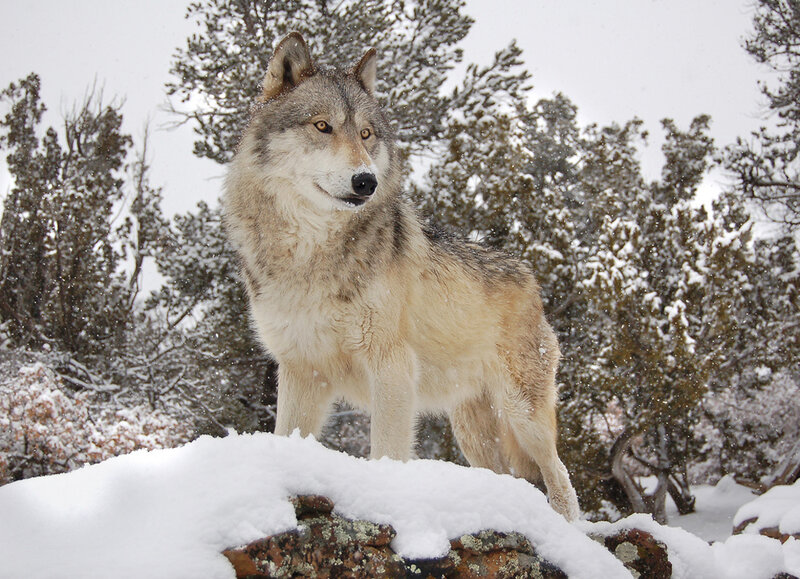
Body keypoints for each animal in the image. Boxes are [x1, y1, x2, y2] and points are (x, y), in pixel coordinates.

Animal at [223, 32, 580, 520]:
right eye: (322, 126)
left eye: (367, 134)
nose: (366, 181)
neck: (310, 255)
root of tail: (530, 277)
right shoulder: (300, 370)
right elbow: (287, 437)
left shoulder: (391, 367)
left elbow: (388, 452)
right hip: (471, 430)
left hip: (524, 415)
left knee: (560, 477)